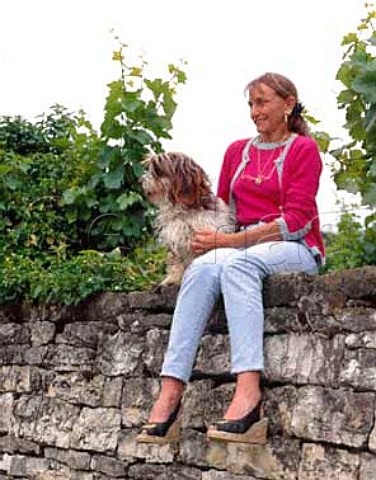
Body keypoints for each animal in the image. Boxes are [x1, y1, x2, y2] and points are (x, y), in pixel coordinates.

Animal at [142, 152, 235, 284]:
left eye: (158, 170)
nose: (142, 180)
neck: (183, 210)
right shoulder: (174, 239)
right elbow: (175, 261)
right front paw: (172, 279)